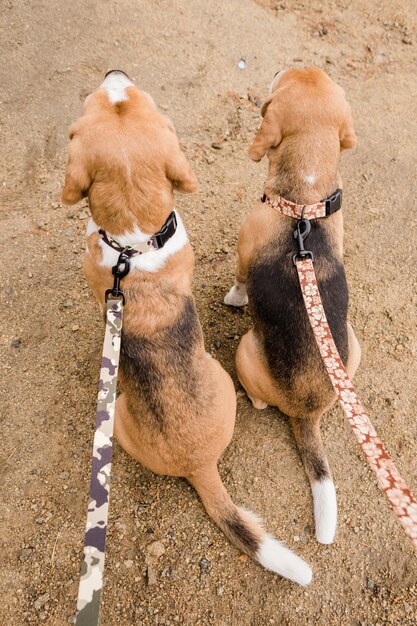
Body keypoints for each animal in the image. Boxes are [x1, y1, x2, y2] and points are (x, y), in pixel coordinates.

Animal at [61, 73, 308, 584]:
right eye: (107, 100)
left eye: (132, 98)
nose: (115, 74)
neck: (133, 246)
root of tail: (198, 462)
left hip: (124, 413)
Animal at [224, 68, 360, 544]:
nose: (283, 67)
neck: (305, 202)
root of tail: (309, 409)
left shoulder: (243, 253)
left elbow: (239, 281)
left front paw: (233, 297)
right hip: (352, 346)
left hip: (245, 350)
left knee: (259, 400)